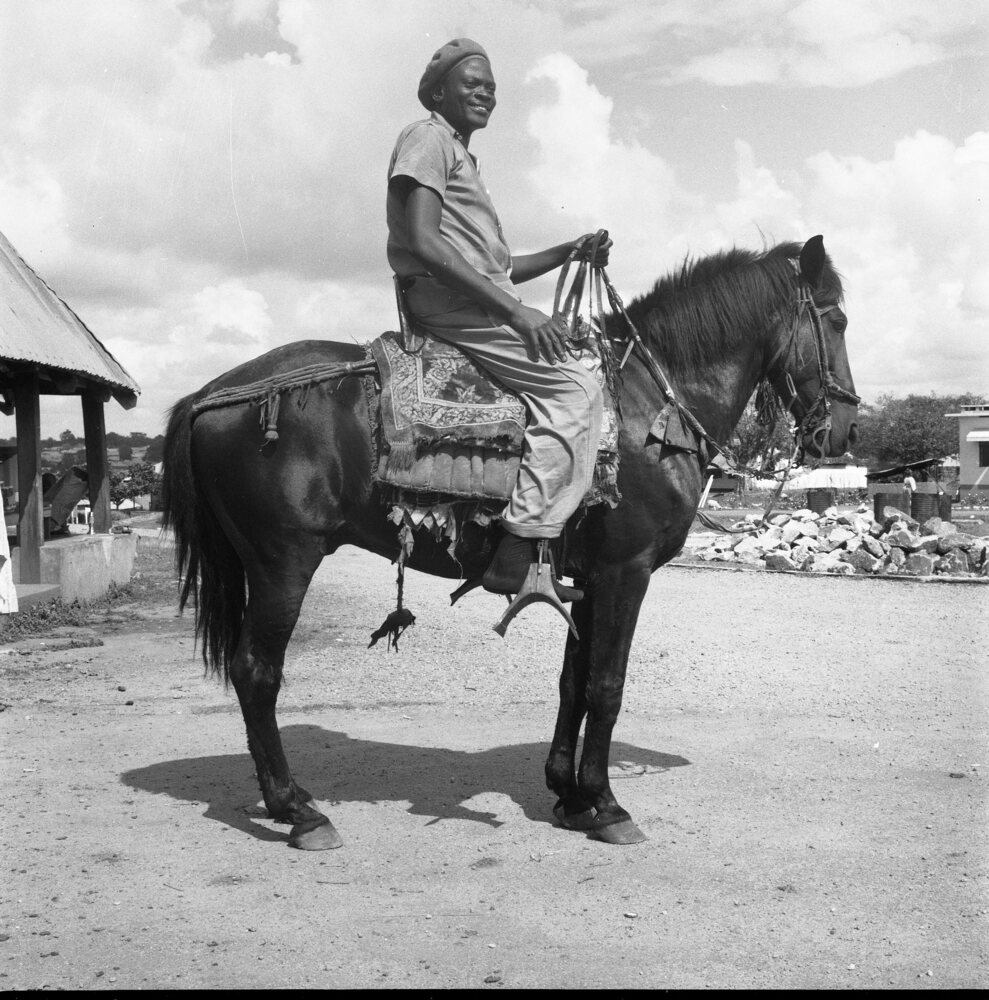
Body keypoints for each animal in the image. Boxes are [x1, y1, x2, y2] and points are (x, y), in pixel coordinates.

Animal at [162, 236, 856, 852]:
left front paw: (570, 795)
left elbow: (574, 683)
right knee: (257, 673)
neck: (648, 404)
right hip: (283, 562)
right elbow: (607, 686)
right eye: (840, 320)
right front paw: (606, 805)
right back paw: (297, 811)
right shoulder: (626, 570)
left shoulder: (588, 579)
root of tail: (214, 394)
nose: (846, 428)